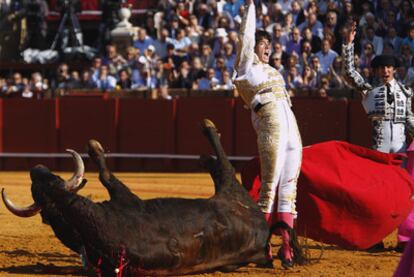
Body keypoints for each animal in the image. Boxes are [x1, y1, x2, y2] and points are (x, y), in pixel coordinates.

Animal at [1, 118, 270, 274]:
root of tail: (263, 229)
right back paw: (208, 133)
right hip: (231, 189)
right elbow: (106, 176)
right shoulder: (125, 197)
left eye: (51, 178)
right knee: (224, 168)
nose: (36, 168)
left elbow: (105, 176)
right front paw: (94, 148)